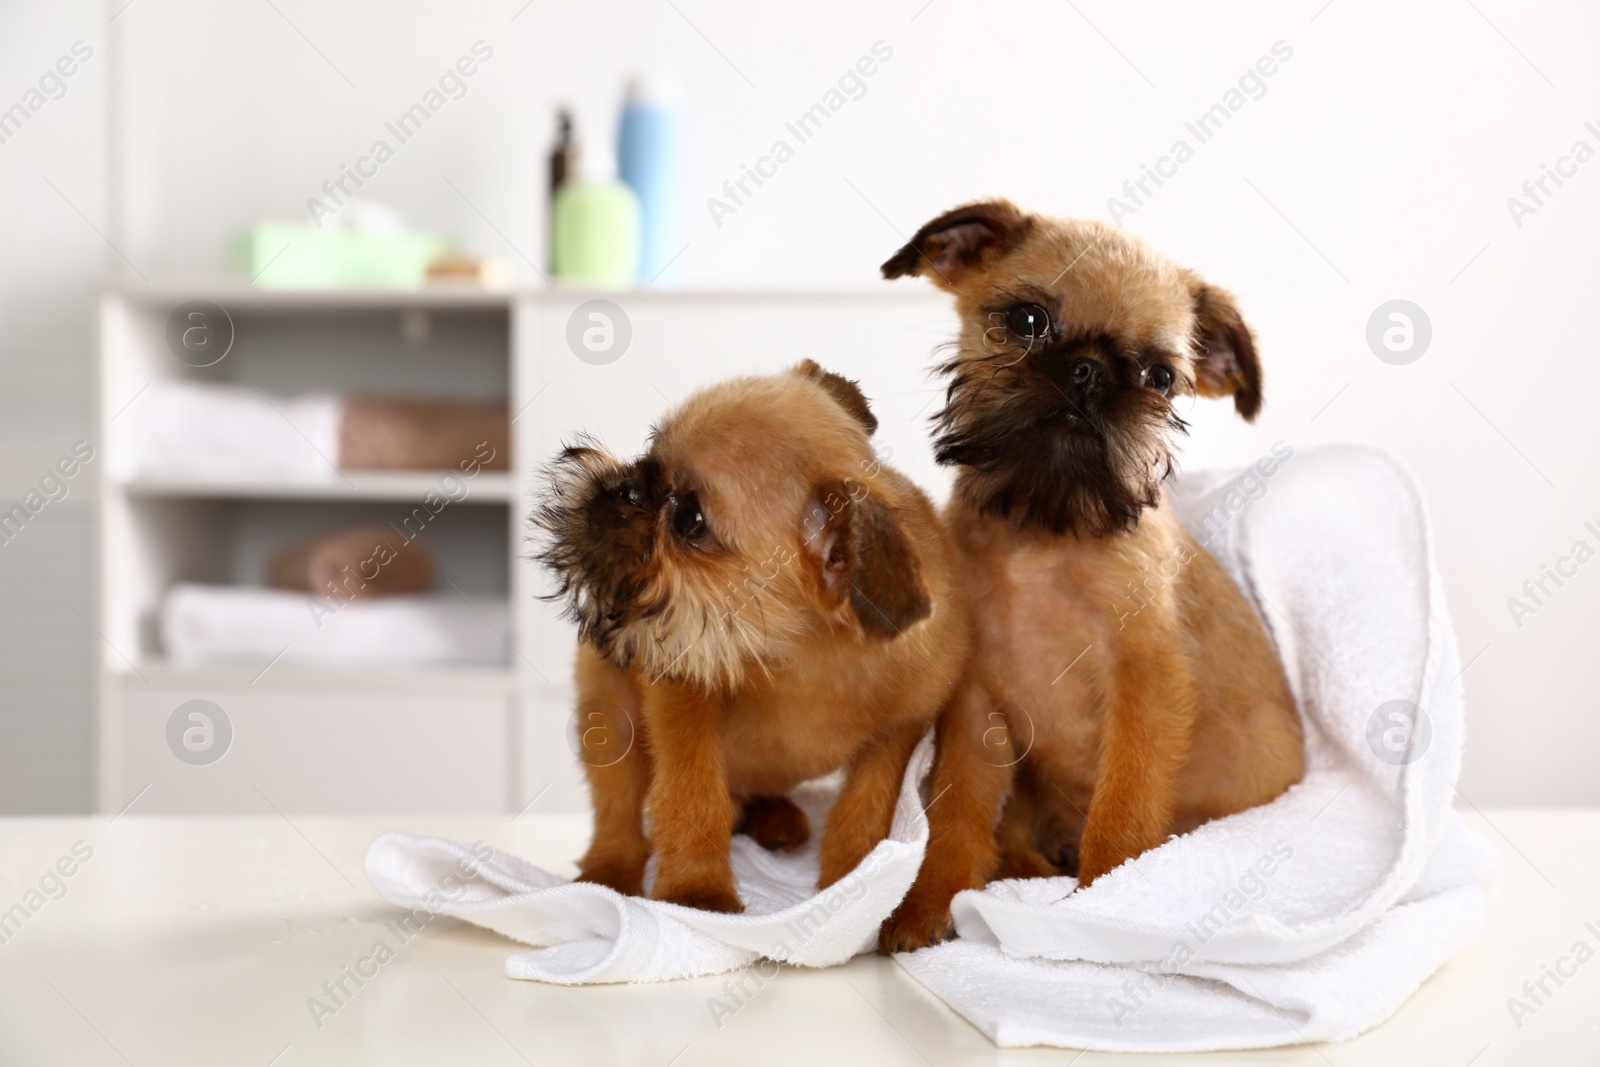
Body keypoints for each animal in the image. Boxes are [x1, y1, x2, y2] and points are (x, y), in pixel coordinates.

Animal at [531, 363, 966, 915]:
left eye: (690, 520)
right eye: (650, 450)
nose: (625, 486)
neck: (801, 653)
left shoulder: (897, 736)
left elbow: (863, 814)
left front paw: (853, 891)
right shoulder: (682, 695)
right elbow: (694, 793)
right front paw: (697, 890)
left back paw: (774, 818)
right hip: (610, 718)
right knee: (619, 807)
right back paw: (609, 872)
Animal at [883, 199, 1305, 953]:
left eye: (1161, 378)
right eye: (1027, 321)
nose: (1090, 371)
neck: (1043, 533)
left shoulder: (1147, 685)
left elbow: (1123, 808)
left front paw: (1100, 911)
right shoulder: (976, 705)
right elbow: (958, 810)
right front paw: (929, 899)